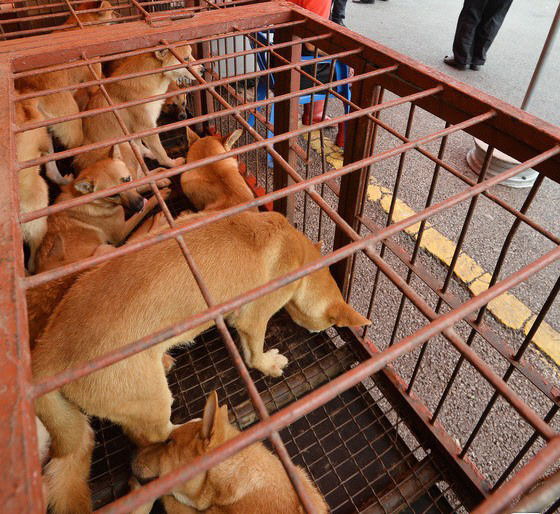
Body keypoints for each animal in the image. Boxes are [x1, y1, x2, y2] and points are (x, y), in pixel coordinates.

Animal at [32, 210, 370, 458]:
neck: (297, 250)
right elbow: (254, 353)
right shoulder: (254, 318)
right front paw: (268, 364)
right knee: (155, 434)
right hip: (152, 398)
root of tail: (45, 355)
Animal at [74, 44, 203, 172]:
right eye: (185, 58)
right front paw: (172, 164)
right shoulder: (146, 127)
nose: (203, 69)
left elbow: (144, 145)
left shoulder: (140, 128)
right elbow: (161, 152)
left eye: (191, 54)